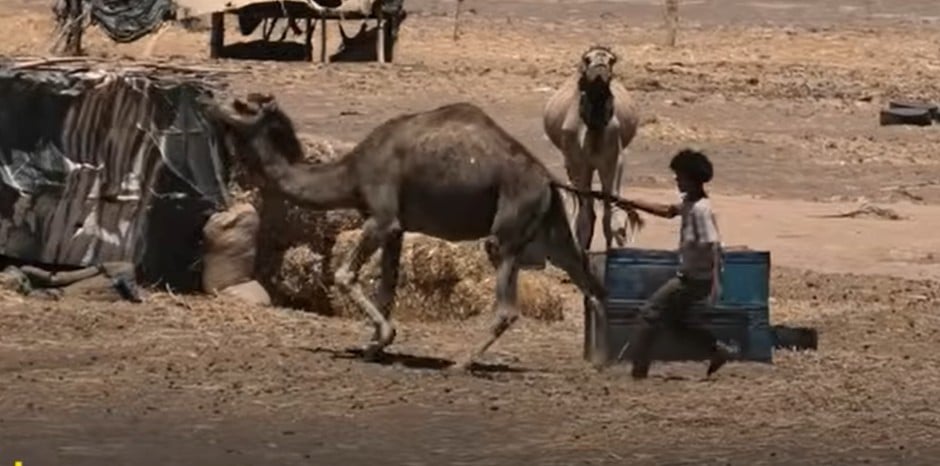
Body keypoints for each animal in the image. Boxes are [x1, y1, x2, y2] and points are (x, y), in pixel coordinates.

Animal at [198, 94, 643, 370]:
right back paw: (603, 361)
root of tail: (548, 179)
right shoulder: (397, 228)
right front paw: (375, 346)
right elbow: (387, 287)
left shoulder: (381, 217)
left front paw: (381, 338)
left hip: (508, 227)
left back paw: (461, 363)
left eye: (240, 104)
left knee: (507, 305)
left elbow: (343, 274)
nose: (207, 102)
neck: (350, 173)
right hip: (551, 227)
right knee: (590, 283)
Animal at [543, 45, 640, 252]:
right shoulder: (578, 164)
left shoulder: (612, 162)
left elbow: (608, 214)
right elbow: (585, 214)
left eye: (612, 60)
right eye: (587, 59)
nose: (600, 67)